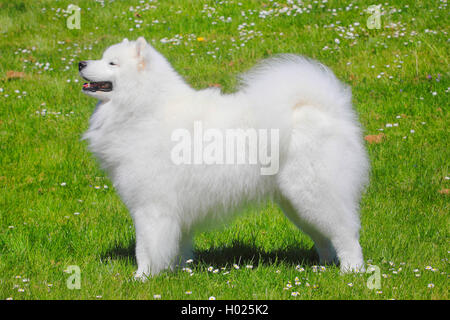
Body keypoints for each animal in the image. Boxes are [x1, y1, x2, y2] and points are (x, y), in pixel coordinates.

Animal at [79, 37, 370, 278]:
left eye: (112, 63)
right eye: (102, 57)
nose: (80, 63)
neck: (143, 108)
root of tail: (326, 110)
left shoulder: (151, 208)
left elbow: (146, 248)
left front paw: (142, 277)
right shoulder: (175, 212)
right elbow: (177, 246)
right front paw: (177, 271)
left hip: (314, 194)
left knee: (346, 233)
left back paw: (351, 271)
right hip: (296, 204)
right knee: (323, 238)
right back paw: (323, 267)